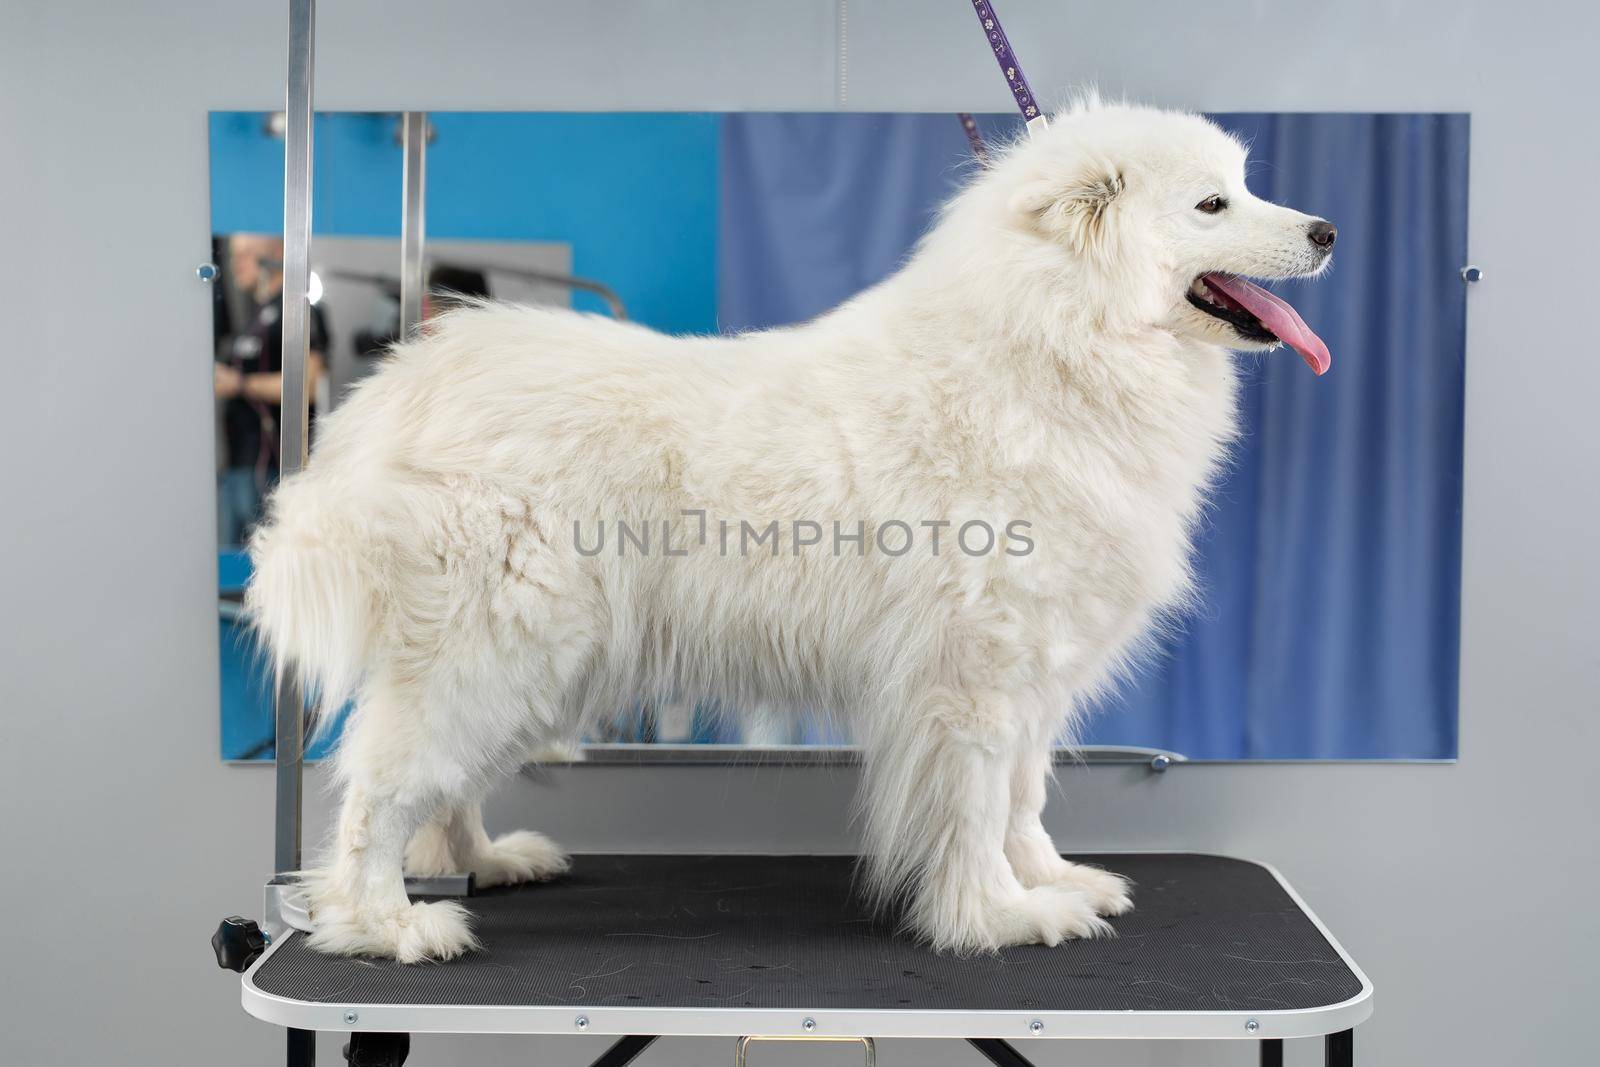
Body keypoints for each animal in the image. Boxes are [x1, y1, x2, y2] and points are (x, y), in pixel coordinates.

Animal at [243, 102, 1331, 966]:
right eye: (1213, 205)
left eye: (1242, 185)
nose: (1326, 229)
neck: (1054, 343)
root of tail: (400, 390)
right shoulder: (973, 678)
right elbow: (978, 808)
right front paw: (997, 916)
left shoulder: (1036, 671)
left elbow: (1025, 800)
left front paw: (1050, 879)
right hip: (493, 652)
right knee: (379, 791)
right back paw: (387, 923)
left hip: (532, 670)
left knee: (441, 787)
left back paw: (481, 862)